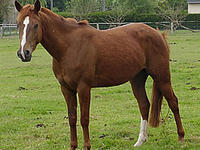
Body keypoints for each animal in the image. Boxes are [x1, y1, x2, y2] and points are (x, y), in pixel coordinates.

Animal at [14, 0, 185, 149]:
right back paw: (140, 140)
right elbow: (72, 118)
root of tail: (158, 34)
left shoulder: (84, 88)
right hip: (137, 79)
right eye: (18, 24)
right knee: (144, 105)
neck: (69, 46)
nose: (24, 53)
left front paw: (87, 146)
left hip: (162, 77)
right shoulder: (66, 89)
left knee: (173, 102)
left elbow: (84, 119)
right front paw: (73, 146)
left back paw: (181, 138)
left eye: (36, 24)